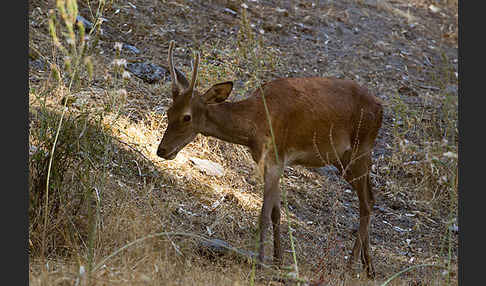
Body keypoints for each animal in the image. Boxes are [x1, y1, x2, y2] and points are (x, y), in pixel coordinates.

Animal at [157, 41, 384, 278]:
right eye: (169, 111)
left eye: (187, 117)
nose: (162, 150)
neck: (254, 125)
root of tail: (381, 108)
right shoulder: (271, 161)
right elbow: (276, 212)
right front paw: (278, 259)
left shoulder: (275, 158)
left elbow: (264, 214)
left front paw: (260, 261)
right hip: (343, 159)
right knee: (370, 197)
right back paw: (369, 267)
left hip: (361, 149)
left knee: (367, 202)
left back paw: (351, 266)